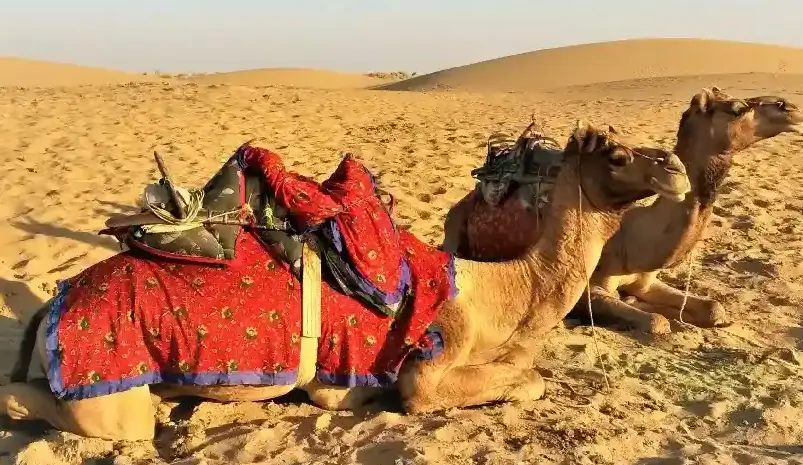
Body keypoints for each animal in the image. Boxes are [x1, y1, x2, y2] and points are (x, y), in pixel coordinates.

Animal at [0, 122, 690, 441]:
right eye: (618, 155)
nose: (676, 168)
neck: (499, 294)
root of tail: (52, 307)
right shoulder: (423, 371)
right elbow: (528, 381)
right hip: (105, 395)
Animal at [442, 88, 803, 333]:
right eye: (737, 109)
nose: (790, 107)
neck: (634, 236)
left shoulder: (645, 280)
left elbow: (715, 308)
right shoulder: (588, 287)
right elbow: (656, 323)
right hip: (455, 227)